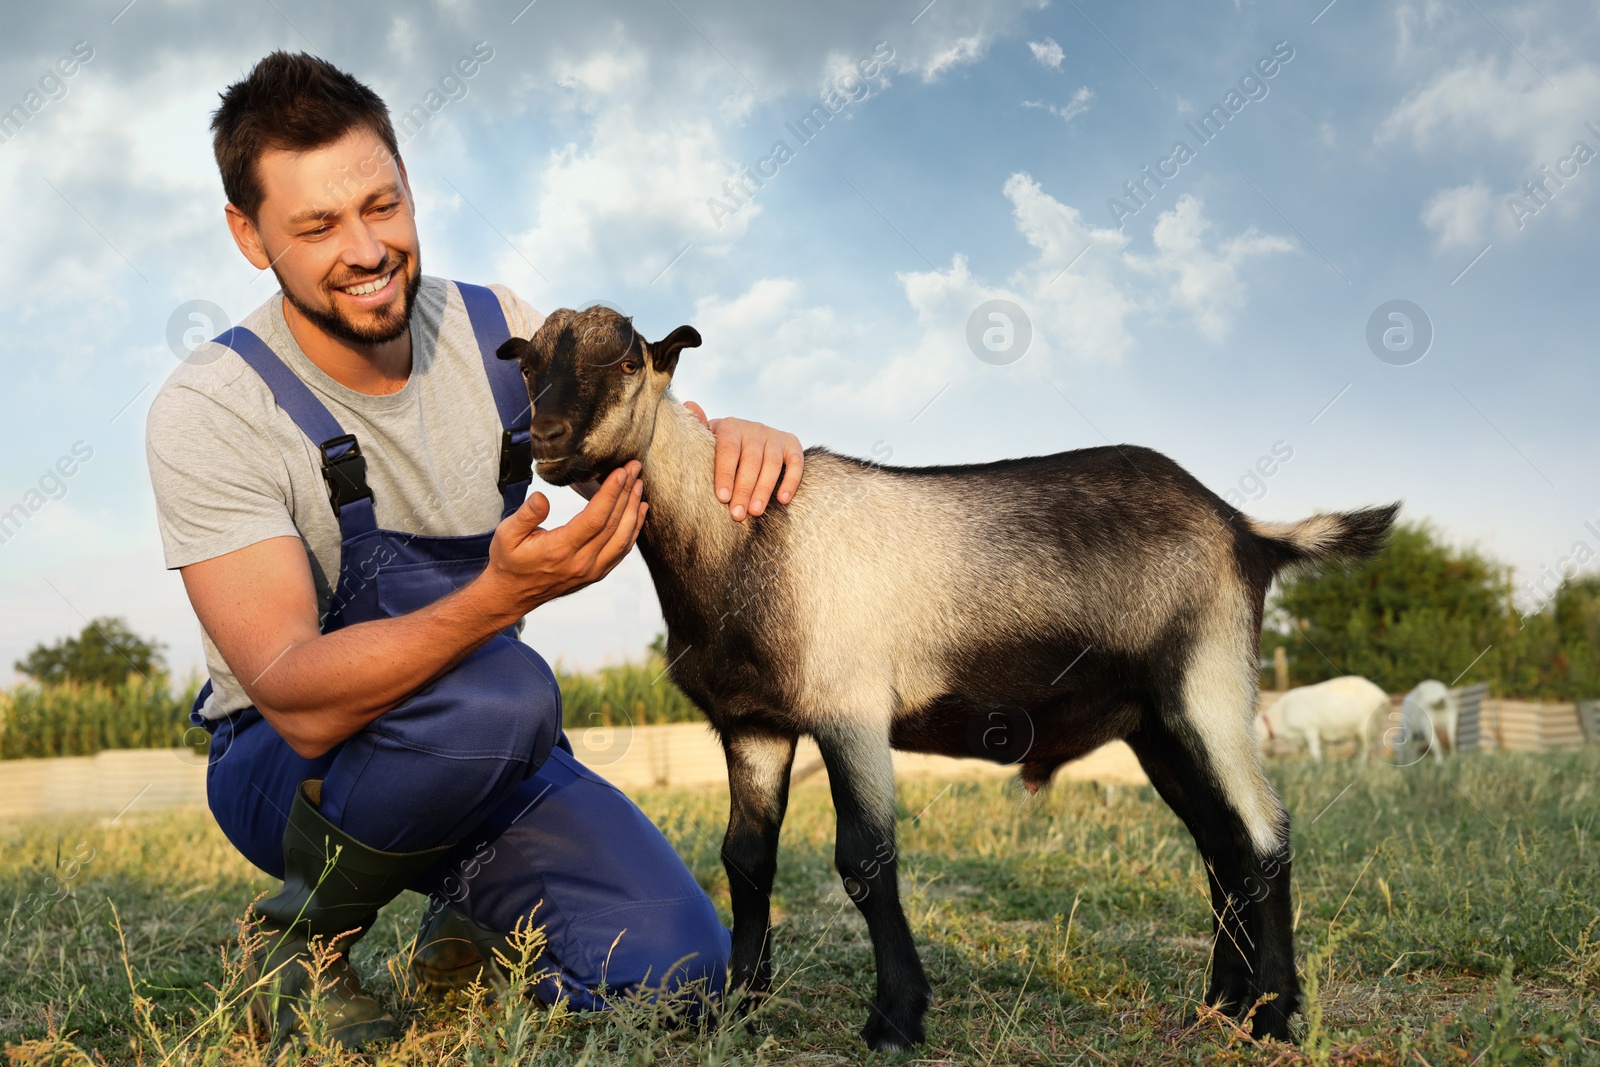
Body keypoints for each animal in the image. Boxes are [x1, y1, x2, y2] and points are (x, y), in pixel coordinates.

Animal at [496, 302, 1401, 1049]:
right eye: (528, 364)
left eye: (625, 361)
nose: (545, 439)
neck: (742, 540)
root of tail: (1245, 527)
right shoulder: (752, 723)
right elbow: (746, 860)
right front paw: (738, 1009)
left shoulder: (851, 707)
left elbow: (864, 859)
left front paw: (896, 1018)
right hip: (1156, 722)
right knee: (1221, 848)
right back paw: (1222, 1003)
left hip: (1207, 683)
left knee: (1263, 837)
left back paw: (1275, 1016)